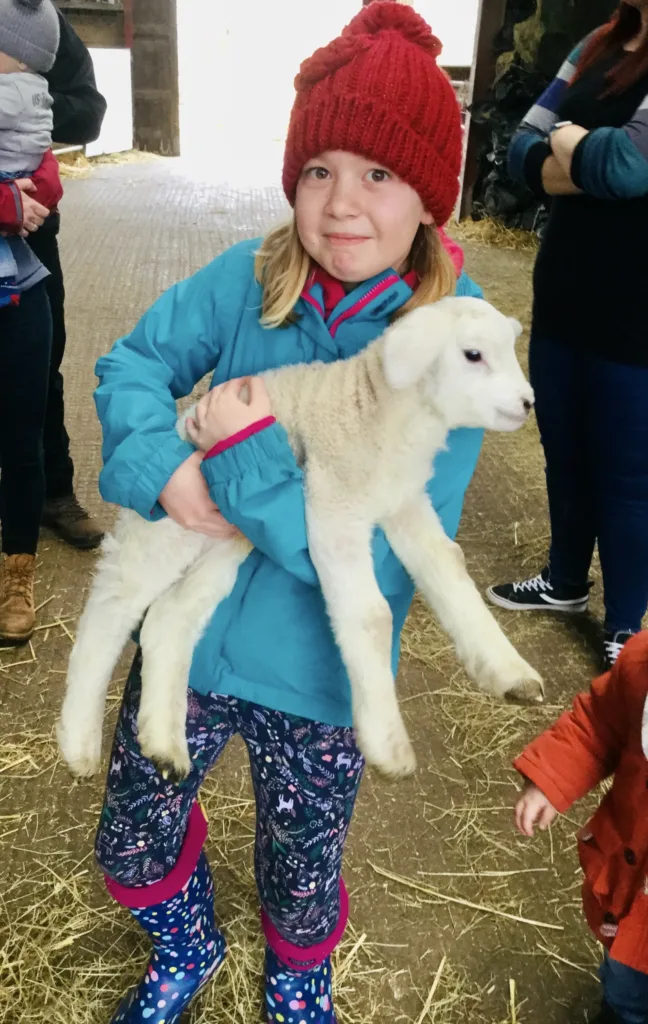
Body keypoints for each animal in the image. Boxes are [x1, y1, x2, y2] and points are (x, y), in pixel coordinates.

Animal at [56, 299, 540, 778]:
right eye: (473, 354)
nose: (528, 403)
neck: (373, 410)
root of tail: (181, 421)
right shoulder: (333, 504)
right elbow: (371, 616)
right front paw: (388, 746)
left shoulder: (405, 503)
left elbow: (448, 562)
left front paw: (511, 674)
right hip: (168, 522)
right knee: (112, 604)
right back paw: (79, 742)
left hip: (226, 541)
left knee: (169, 618)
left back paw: (165, 746)